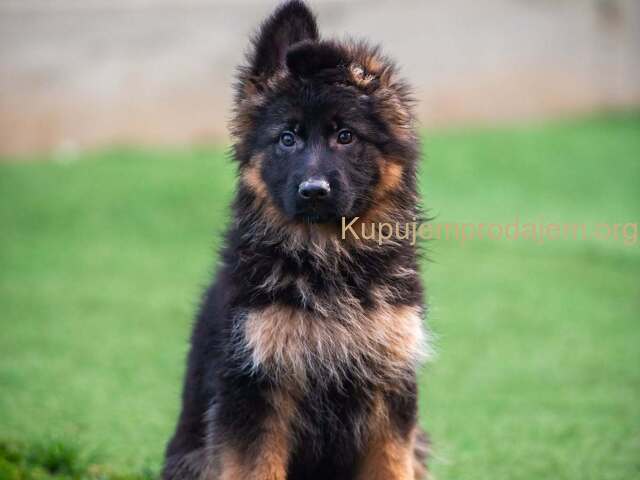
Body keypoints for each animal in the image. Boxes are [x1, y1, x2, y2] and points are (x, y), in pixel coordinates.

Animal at [163, 1, 429, 478]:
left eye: (345, 136)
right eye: (287, 138)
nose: (313, 191)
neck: (328, 259)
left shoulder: (390, 388)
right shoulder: (255, 388)